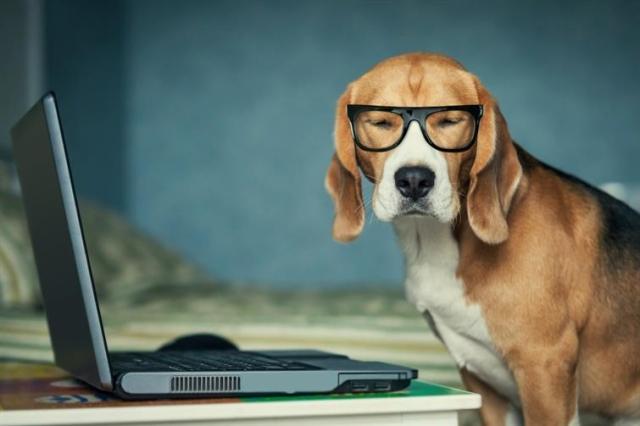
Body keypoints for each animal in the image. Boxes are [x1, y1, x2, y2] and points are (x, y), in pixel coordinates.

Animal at [324, 53, 640, 426]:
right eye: (381, 122)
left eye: (450, 120)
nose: (414, 180)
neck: (437, 243)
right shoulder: (483, 386)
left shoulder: (545, 366)